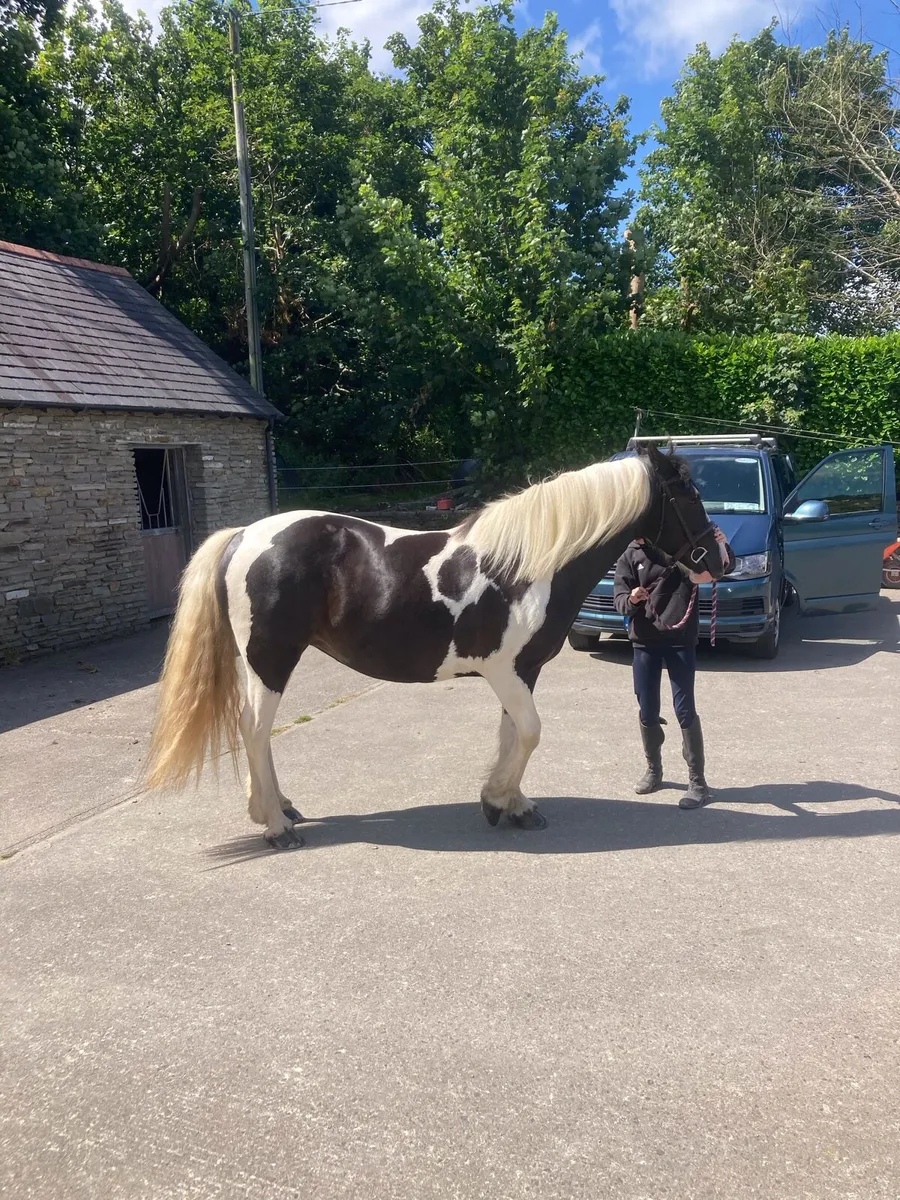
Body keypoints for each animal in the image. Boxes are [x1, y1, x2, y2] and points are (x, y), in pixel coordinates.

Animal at [145, 444, 723, 849]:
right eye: (691, 496)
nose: (721, 559)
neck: (531, 565)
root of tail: (245, 535)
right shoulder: (506, 672)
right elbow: (531, 732)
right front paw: (497, 801)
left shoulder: (522, 672)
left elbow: (513, 734)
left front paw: (513, 804)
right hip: (271, 659)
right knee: (255, 730)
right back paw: (274, 826)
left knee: (256, 733)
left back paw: (281, 808)